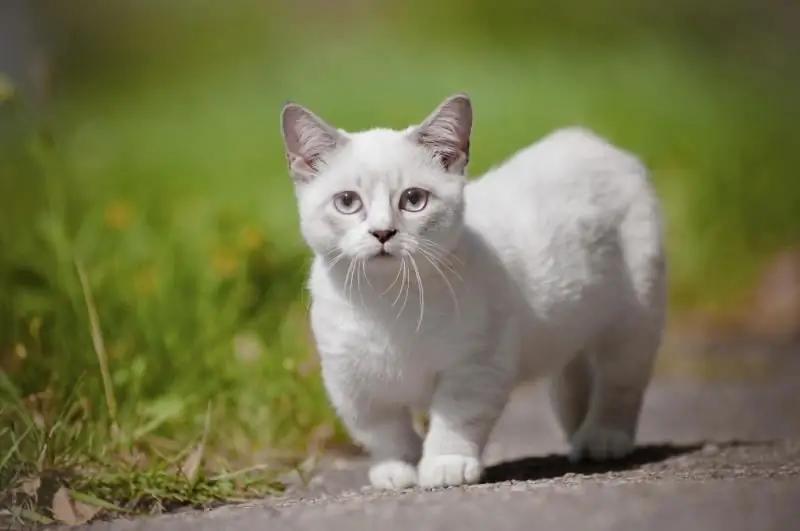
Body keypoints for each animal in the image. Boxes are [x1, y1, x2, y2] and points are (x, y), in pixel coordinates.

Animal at [278, 92, 664, 490]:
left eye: (413, 199)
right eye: (347, 202)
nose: (383, 232)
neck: (387, 303)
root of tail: (587, 139)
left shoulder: (476, 364)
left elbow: (455, 420)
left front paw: (445, 464)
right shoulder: (351, 381)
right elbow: (383, 431)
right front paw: (397, 468)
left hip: (633, 317)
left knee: (619, 382)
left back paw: (603, 437)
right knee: (573, 381)